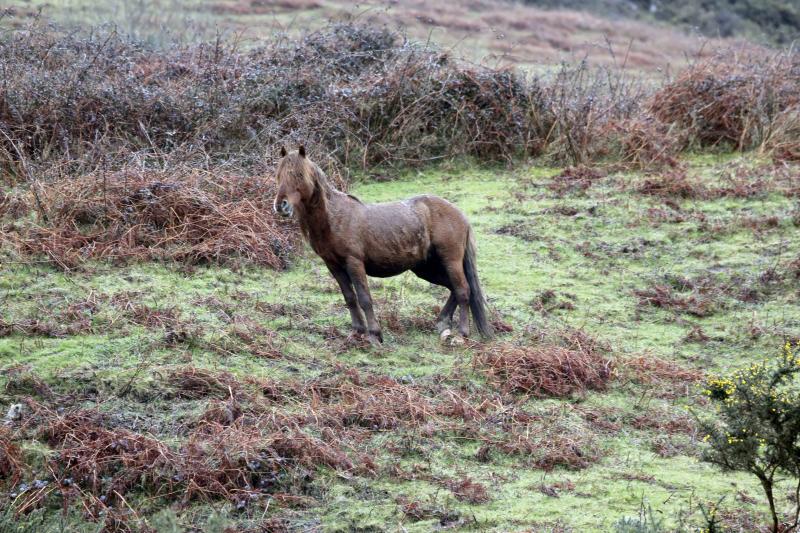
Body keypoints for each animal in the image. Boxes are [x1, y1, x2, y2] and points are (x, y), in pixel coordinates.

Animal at [273, 146, 493, 344]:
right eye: (278, 175)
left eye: (299, 174)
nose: (281, 205)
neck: (334, 218)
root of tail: (460, 215)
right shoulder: (333, 265)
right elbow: (350, 298)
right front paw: (357, 332)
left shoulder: (354, 262)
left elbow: (364, 298)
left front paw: (374, 335)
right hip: (425, 268)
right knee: (452, 288)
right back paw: (442, 325)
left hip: (450, 260)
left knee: (463, 290)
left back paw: (461, 334)